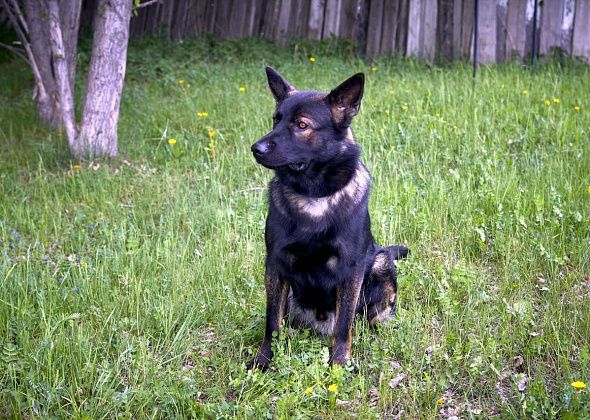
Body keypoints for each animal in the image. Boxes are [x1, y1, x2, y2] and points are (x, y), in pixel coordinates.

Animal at [250, 67, 412, 370]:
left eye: (301, 125)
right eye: (276, 119)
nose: (256, 148)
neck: (314, 195)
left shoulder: (350, 270)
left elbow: (344, 325)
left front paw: (339, 363)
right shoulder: (275, 265)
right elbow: (271, 322)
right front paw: (265, 359)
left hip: (381, 263)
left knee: (374, 316)